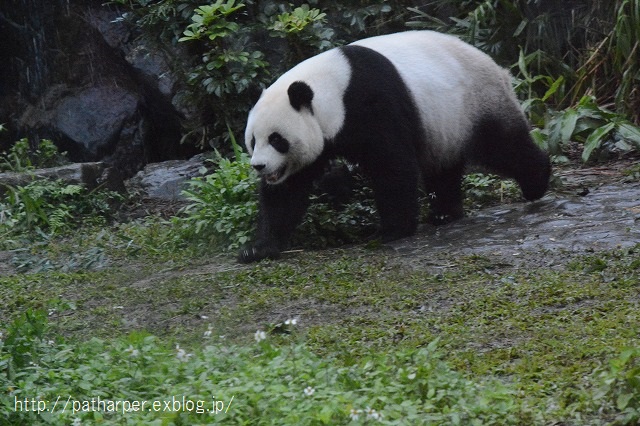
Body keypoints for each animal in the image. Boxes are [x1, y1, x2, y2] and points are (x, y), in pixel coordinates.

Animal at [239, 30, 552, 262]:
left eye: (277, 139)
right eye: (253, 140)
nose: (259, 166)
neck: (330, 90)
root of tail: (497, 66)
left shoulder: (370, 103)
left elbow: (392, 165)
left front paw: (391, 231)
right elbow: (287, 192)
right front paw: (258, 248)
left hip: (476, 100)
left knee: (503, 145)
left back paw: (536, 183)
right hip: (446, 122)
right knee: (444, 166)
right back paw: (445, 213)